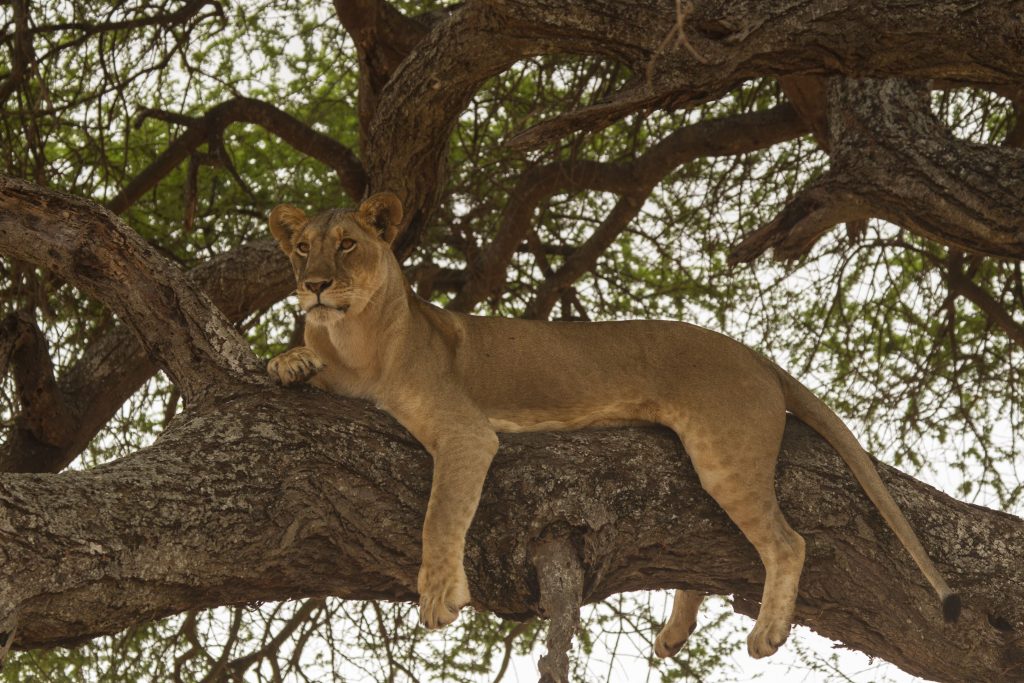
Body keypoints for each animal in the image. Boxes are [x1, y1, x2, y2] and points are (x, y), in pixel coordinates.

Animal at [266, 192, 959, 659]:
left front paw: (438, 595)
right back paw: (676, 633)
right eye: (302, 248)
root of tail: (753, 354)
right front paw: (288, 361)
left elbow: (441, 515)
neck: (355, 342)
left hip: (724, 455)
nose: (314, 285)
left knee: (787, 543)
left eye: (347, 244)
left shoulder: (466, 432)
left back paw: (766, 633)